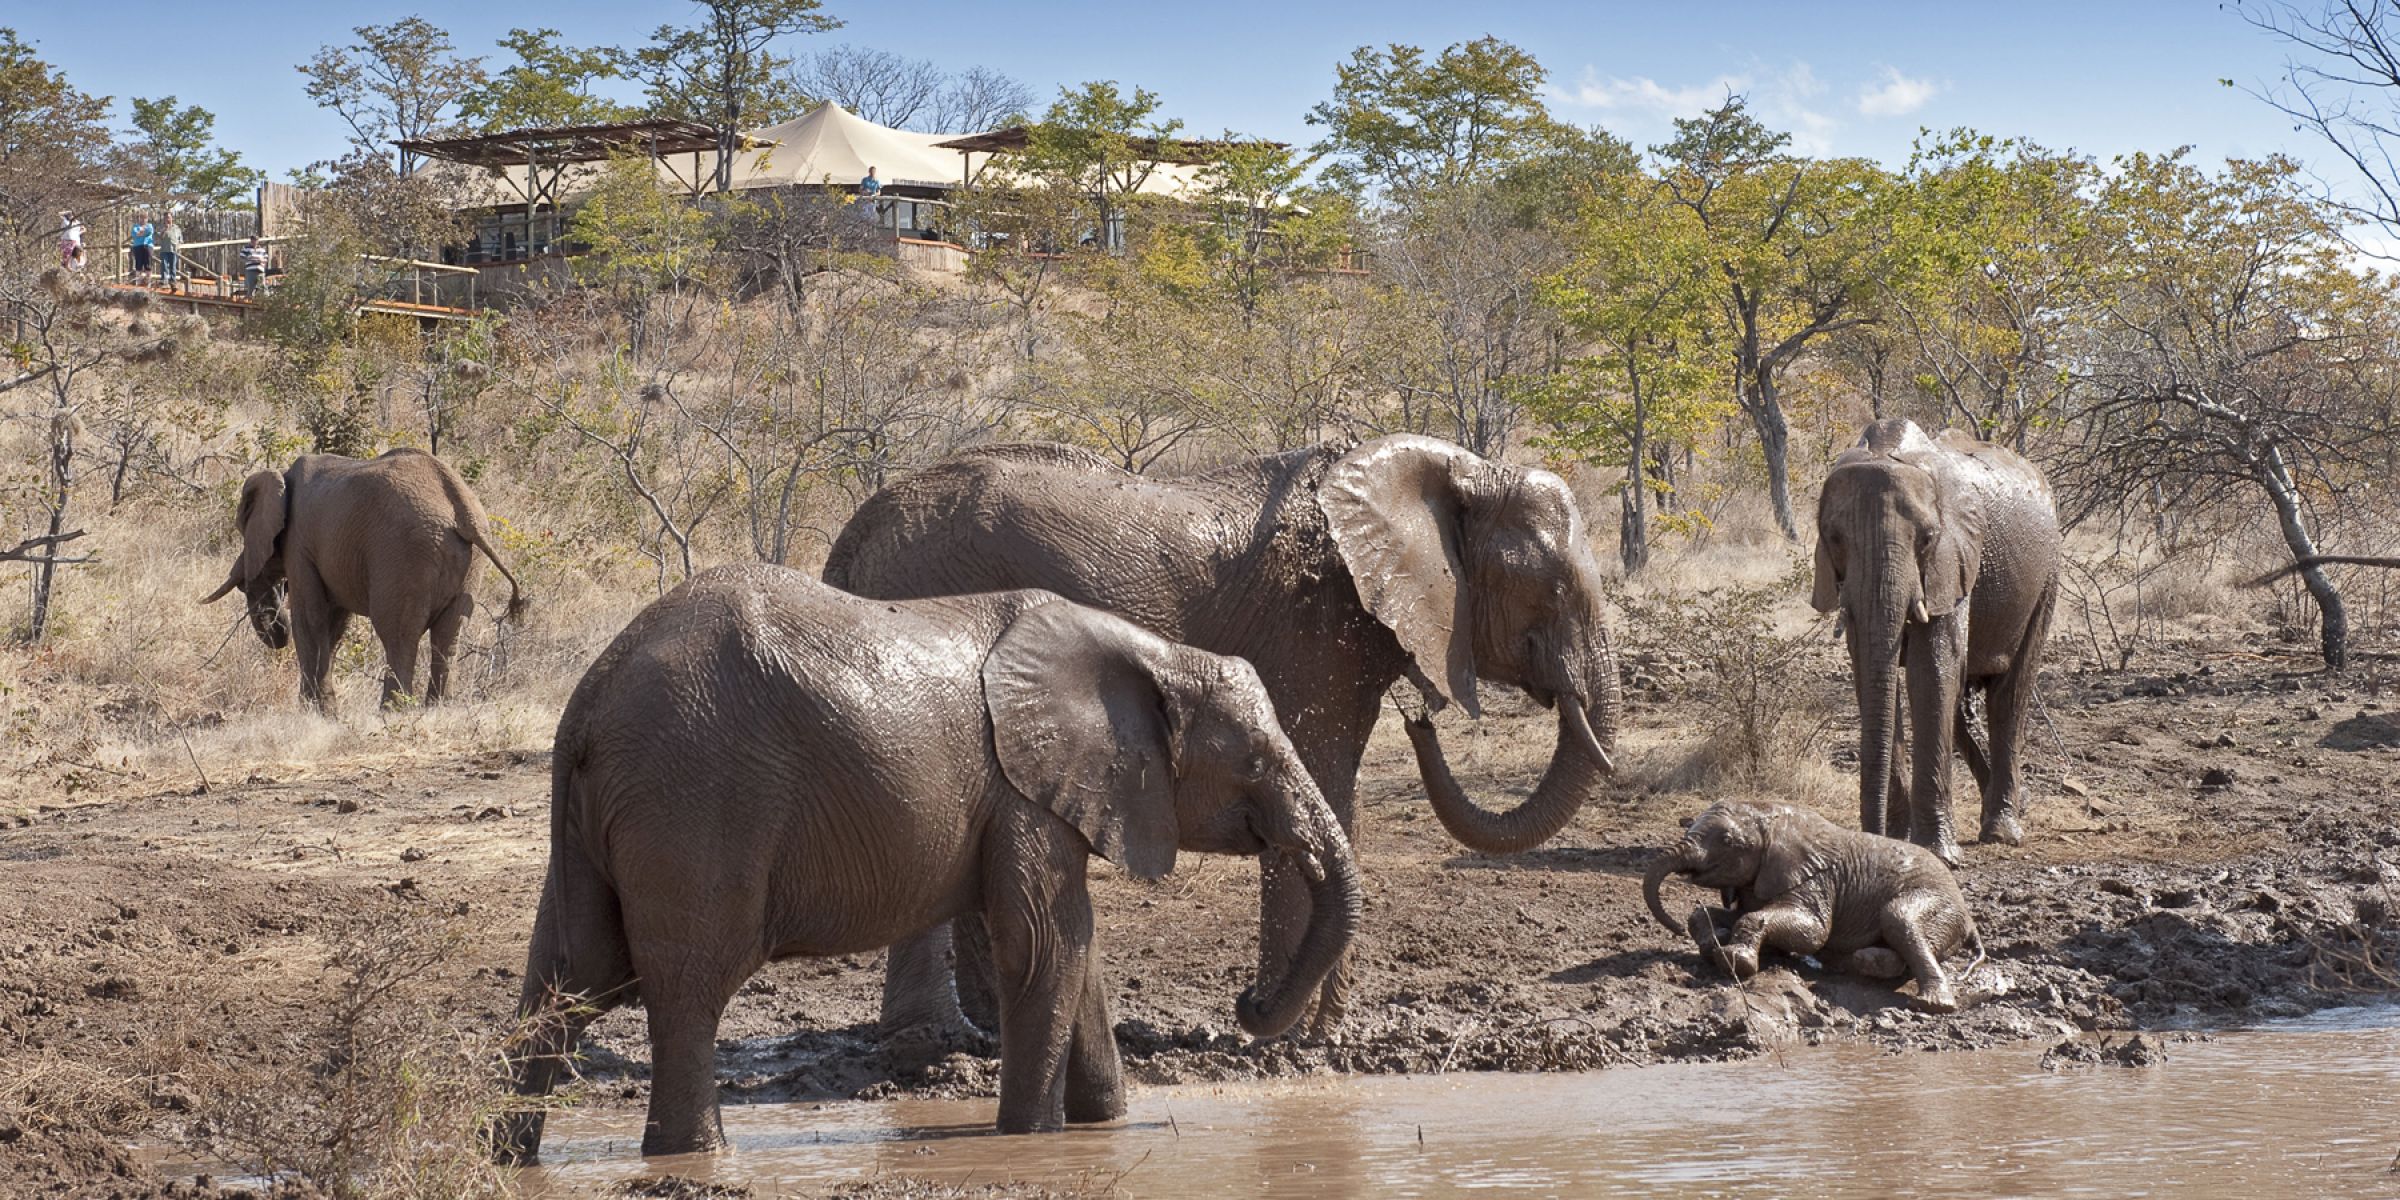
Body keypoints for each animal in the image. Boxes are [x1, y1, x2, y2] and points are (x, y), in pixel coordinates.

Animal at [201, 448, 525, 710]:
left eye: (242, 525)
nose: (276, 629)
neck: (280, 475)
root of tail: (463, 509)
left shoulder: (299, 541)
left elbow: (310, 618)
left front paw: (316, 715)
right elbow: (332, 625)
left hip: (405, 554)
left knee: (397, 634)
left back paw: (392, 714)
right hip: (468, 564)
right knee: (449, 635)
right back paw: (438, 710)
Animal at [492, 565, 1358, 1160]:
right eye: (1253, 761)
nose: (1248, 1005)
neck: (1152, 654)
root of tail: (587, 705)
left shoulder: (1031, 797)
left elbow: (1076, 951)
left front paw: (1101, 1127)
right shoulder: (1024, 792)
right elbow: (1043, 946)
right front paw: (1031, 1140)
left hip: (604, 819)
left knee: (566, 982)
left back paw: (505, 1154)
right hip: (694, 798)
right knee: (688, 988)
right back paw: (694, 1156)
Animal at [823, 435, 1622, 1047]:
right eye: (1554, 592)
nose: (1419, 719)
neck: (1455, 467)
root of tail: (853, 535)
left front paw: (1320, 1034)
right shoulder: (1310, 629)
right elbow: (1321, 782)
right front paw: (1298, 1039)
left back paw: (977, 1037)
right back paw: (933, 1044)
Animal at [1643, 800, 1985, 1012]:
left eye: (1728, 841)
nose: (1673, 928)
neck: (1770, 815)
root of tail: (1971, 922)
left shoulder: (1812, 880)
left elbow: (1812, 932)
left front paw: (1733, 961)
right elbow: (1721, 912)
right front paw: (1710, 943)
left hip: (1939, 904)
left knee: (1898, 918)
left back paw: (1932, 1003)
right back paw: (1862, 962)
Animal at [1811, 419, 2060, 865]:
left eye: (1927, 538)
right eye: (1834, 538)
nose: (1871, 837)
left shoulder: (1954, 559)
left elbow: (1932, 671)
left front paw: (1938, 854)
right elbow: (1872, 671)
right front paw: (1898, 840)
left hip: (2046, 576)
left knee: (2010, 695)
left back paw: (2003, 831)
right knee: (1962, 706)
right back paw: (2015, 804)